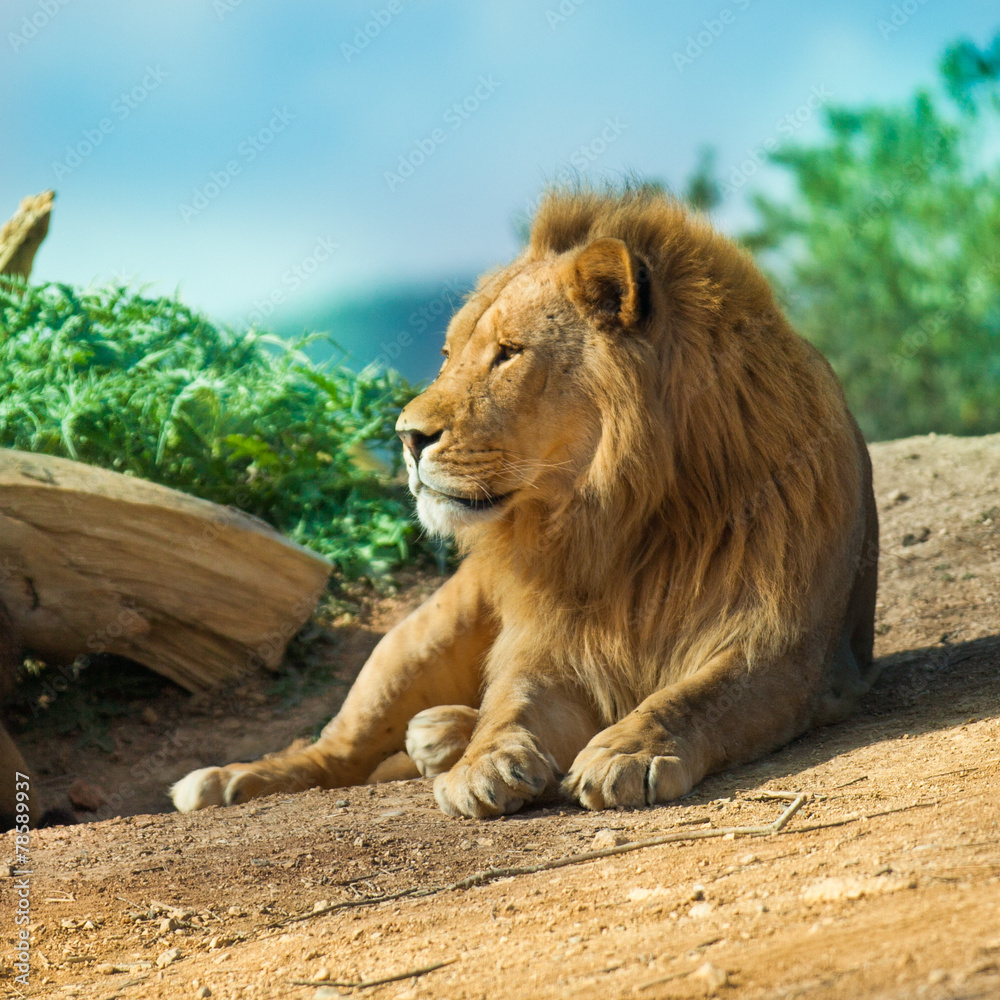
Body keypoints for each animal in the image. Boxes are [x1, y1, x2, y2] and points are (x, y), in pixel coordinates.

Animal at [171, 186, 879, 818]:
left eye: (508, 355)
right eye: (449, 354)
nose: (406, 436)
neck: (622, 516)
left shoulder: (784, 648)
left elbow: (695, 697)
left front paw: (627, 751)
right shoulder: (549, 641)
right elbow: (512, 703)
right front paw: (483, 764)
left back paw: (440, 734)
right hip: (419, 637)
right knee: (336, 749)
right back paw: (230, 779)